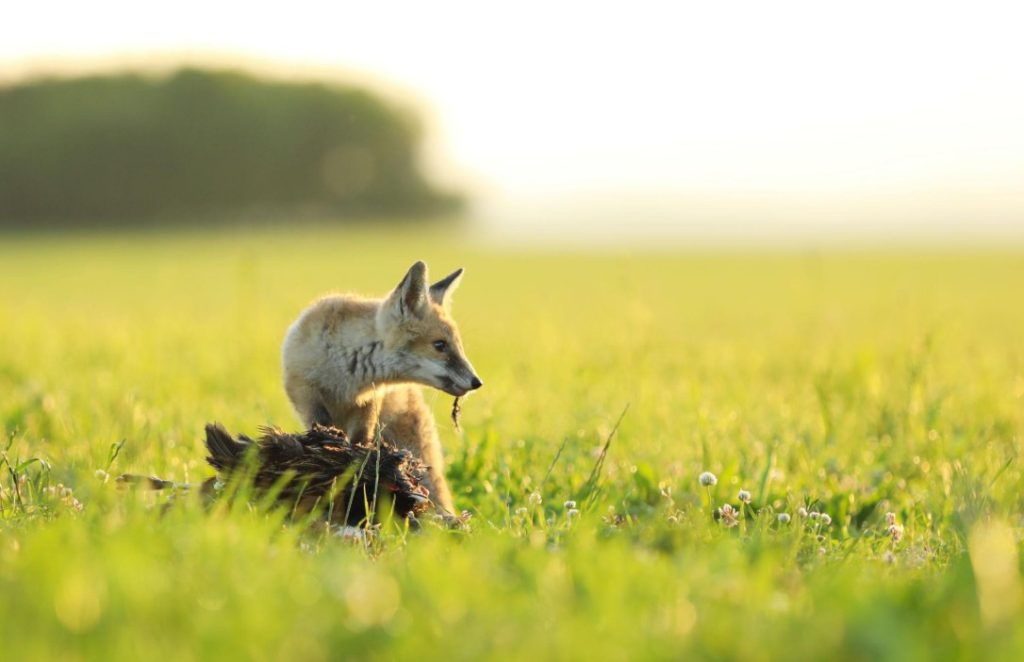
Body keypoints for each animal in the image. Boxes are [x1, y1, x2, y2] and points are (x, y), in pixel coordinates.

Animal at [281, 261, 482, 514]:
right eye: (440, 345)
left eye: (459, 346)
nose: (477, 382)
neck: (347, 373)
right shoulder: (304, 391)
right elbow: (320, 424)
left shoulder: (369, 402)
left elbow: (360, 442)